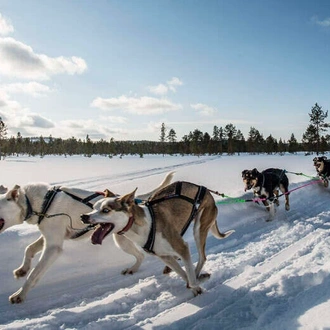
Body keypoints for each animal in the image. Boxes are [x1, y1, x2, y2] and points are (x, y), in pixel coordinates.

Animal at [0, 173, 173, 304]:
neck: (42, 202)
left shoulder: (53, 247)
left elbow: (34, 274)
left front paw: (20, 294)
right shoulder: (49, 238)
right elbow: (29, 249)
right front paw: (22, 270)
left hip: (121, 241)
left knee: (142, 255)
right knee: (141, 255)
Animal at [80, 182, 235, 296]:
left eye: (106, 210)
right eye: (93, 207)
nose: (84, 216)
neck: (143, 227)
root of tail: (206, 190)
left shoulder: (182, 247)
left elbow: (190, 275)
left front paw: (197, 283)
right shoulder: (163, 256)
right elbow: (183, 274)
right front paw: (194, 285)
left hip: (199, 228)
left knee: (202, 257)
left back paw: (197, 272)